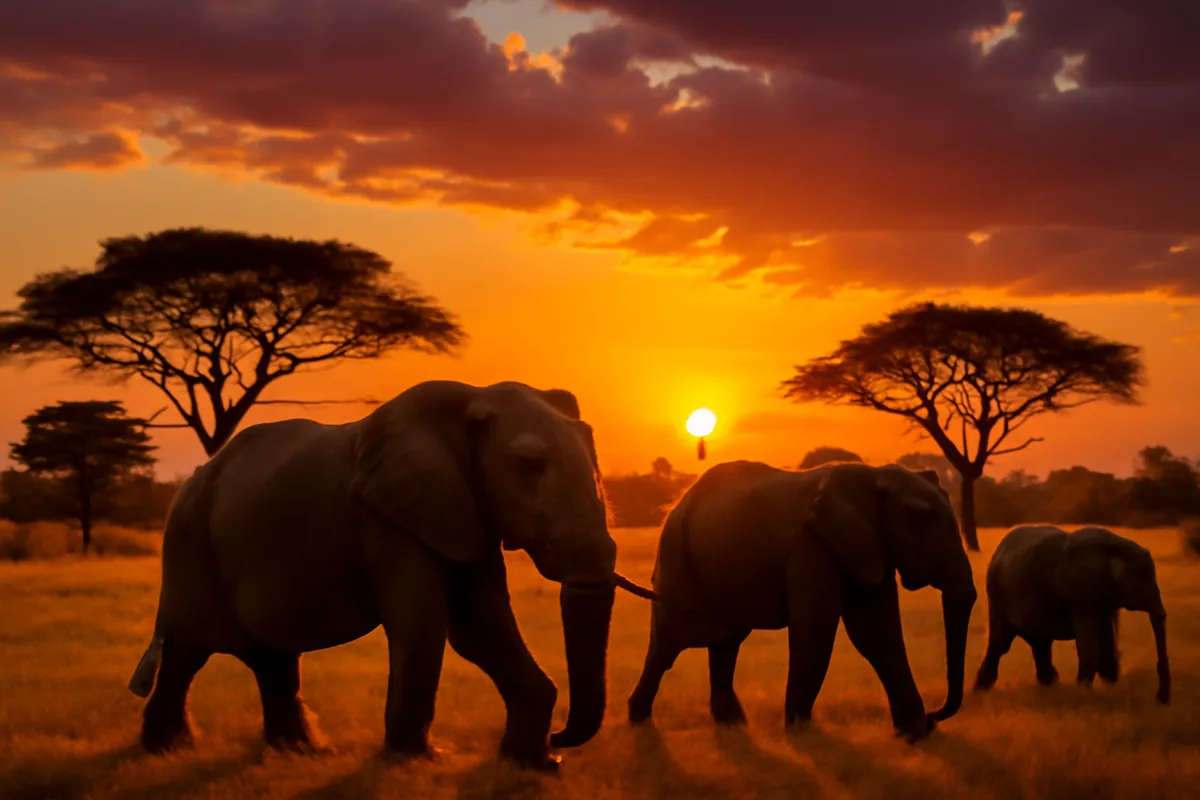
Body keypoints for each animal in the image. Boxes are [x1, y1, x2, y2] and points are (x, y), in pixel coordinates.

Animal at [127, 379, 654, 771]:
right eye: (529, 465)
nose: (563, 740)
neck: (471, 396)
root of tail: (196, 477)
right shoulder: (388, 517)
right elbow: (428, 625)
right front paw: (421, 759)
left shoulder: (464, 510)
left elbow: (482, 627)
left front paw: (533, 764)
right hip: (190, 541)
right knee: (187, 651)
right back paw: (168, 750)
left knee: (271, 659)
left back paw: (303, 753)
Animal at [626, 459, 978, 743]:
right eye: (921, 517)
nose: (934, 717)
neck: (870, 475)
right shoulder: (811, 545)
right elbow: (816, 628)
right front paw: (800, 732)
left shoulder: (868, 545)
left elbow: (877, 633)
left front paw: (913, 734)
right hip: (676, 556)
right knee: (668, 646)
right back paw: (640, 722)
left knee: (725, 645)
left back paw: (734, 726)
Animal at [973, 524, 1170, 703]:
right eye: (1144, 580)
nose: (1161, 700)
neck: (1116, 548)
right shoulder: (1082, 591)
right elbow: (1090, 643)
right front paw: (1082, 692)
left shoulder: (1103, 599)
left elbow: (1104, 640)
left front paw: (1109, 688)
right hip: (997, 595)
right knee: (1001, 644)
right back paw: (980, 693)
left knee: (1040, 645)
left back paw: (1051, 689)